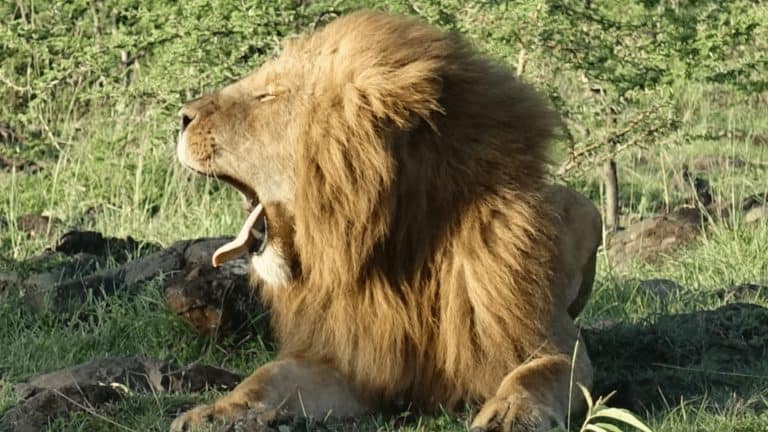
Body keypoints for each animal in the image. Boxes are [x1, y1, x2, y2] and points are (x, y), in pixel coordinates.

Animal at [172, 10, 602, 432]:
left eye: (268, 95)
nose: (181, 117)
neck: (393, 250)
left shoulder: (547, 341)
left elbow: (537, 374)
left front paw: (510, 414)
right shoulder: (351, 363)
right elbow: (266, 377)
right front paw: (213, 412)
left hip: (587, 209)